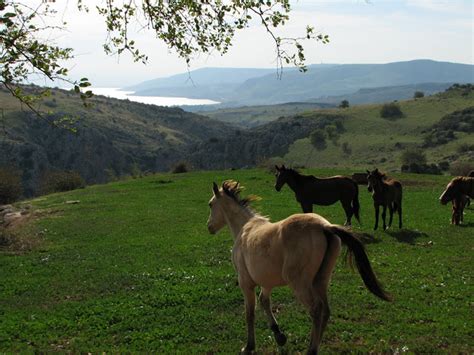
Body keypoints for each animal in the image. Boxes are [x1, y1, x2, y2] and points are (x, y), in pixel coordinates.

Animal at [206, 182, 390, 354]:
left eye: (210, 204)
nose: (209, 227)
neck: (245, 228)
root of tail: (325, 227)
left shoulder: (245, 282)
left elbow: (249, 313)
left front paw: (249, 346)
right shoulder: (266, 282)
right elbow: (264, 301)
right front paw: (279, 336)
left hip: (299, 283)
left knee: (316, 310)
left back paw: (311, 350)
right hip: (321, 280)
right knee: (325, 310)